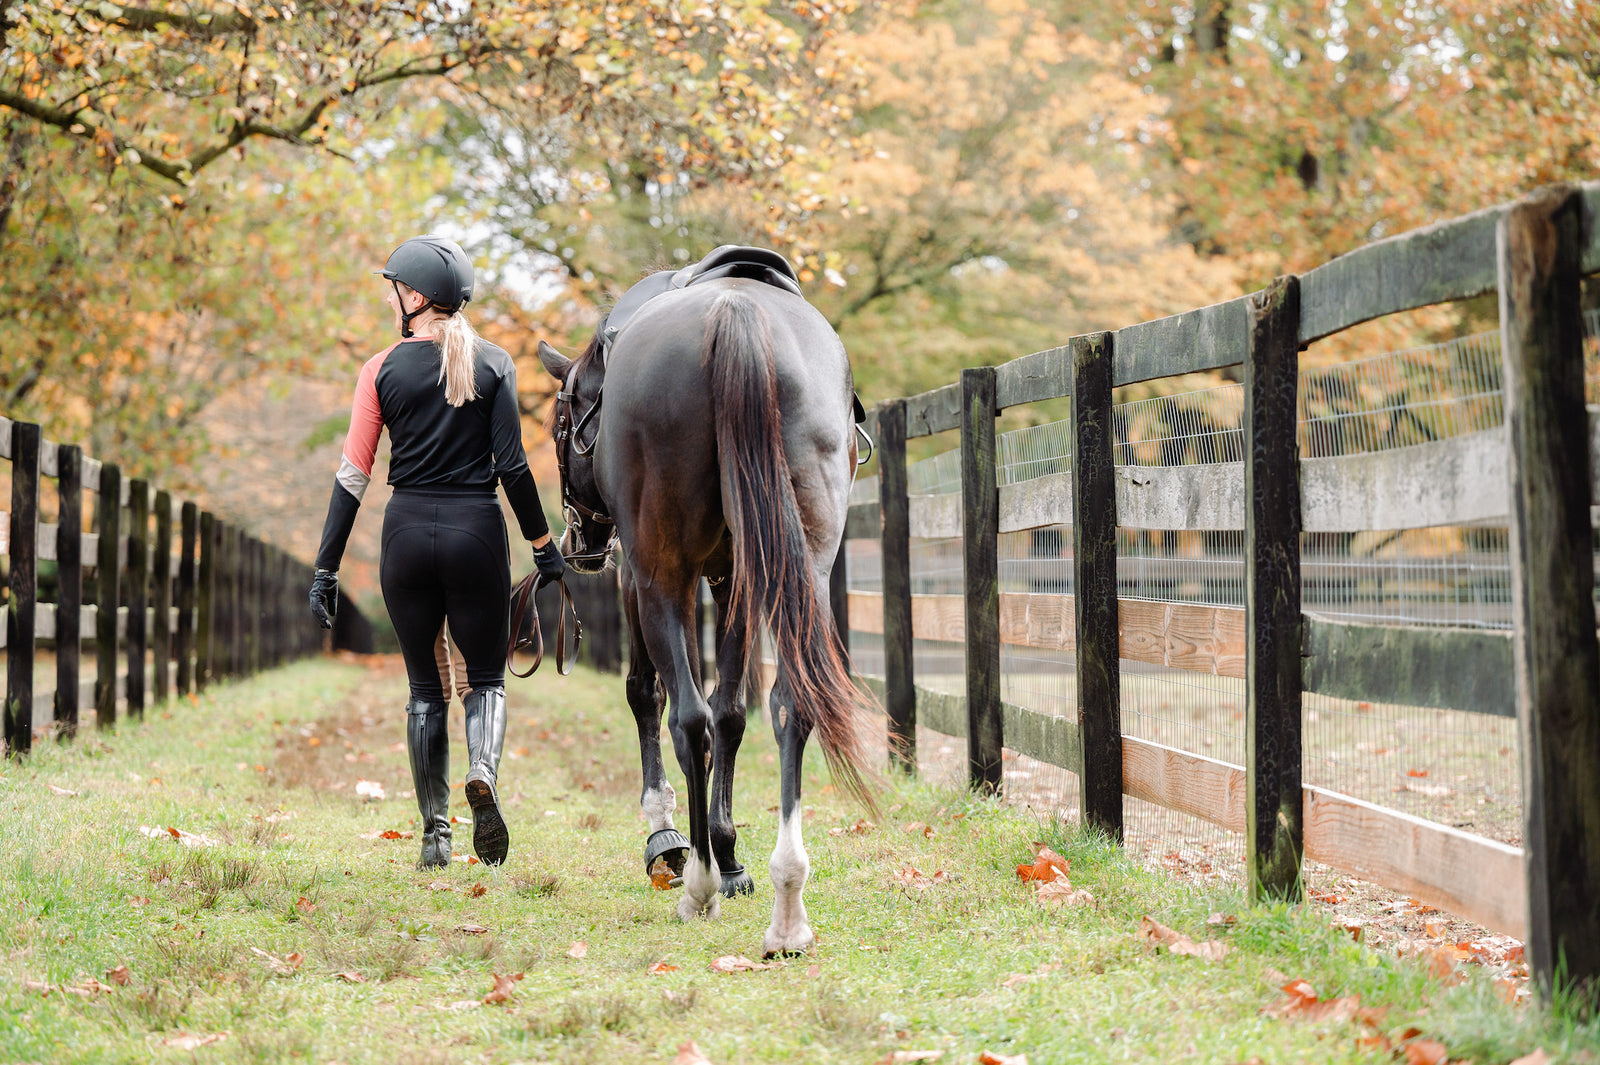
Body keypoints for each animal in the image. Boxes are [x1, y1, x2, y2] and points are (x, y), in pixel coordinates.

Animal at [537, 273, 870, 953]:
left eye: (559, 422)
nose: (580, 542)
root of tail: (736, 310)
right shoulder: (730, 574)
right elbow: (733, 711)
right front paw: (728, 850)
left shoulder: (646, 576)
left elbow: (650, 693)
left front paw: (668, 839)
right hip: (801, 565)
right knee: (788, 704)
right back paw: (787, 897)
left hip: (661, 571)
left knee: (688, 719)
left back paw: (699, 886)